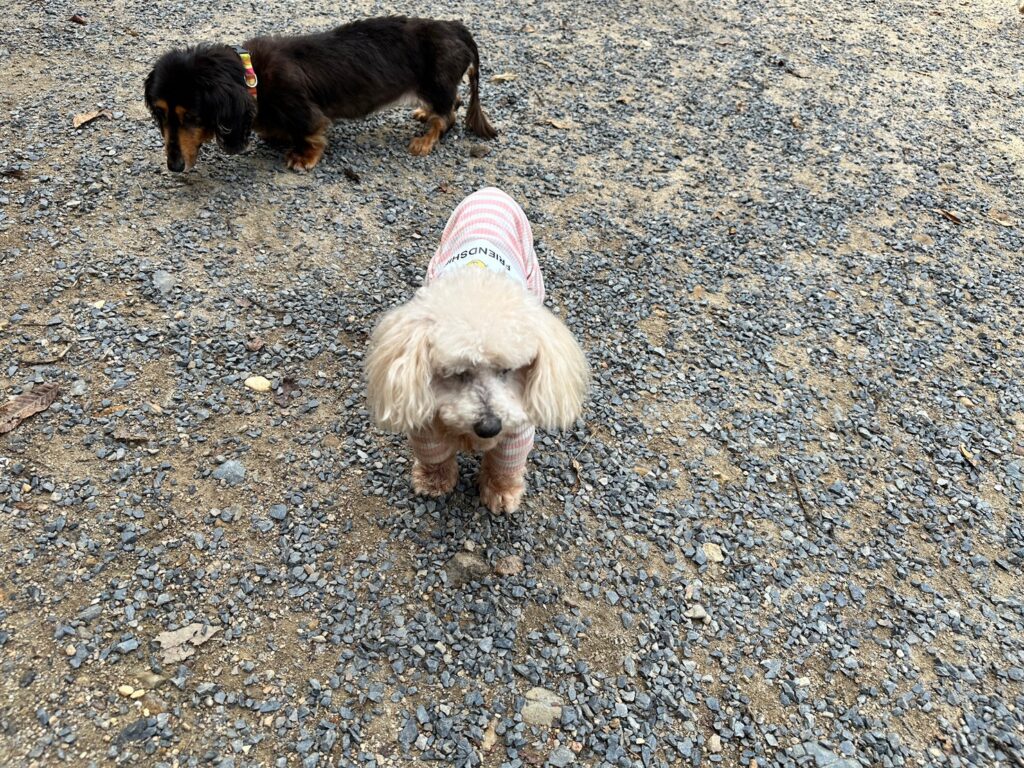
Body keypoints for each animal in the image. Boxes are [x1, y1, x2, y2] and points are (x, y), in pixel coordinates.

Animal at [143, 16, 497, 172]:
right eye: (160, 113)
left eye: (191, 116)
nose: (174, 166)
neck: (252, 78)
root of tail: (457, 28)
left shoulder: (306, 113)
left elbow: (311, 133)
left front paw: (303, 156)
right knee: (453, 103)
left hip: (436, 83)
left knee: (448, 115)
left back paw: (426, 138)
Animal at [365, 188, 589, 514]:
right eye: (457, 372)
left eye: (508, 369)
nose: (490, 427)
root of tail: (492, 191)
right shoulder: (426, 424)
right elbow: (435, 456)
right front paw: (434, 482)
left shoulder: (517, 426)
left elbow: (505, 465)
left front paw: (501, 492)